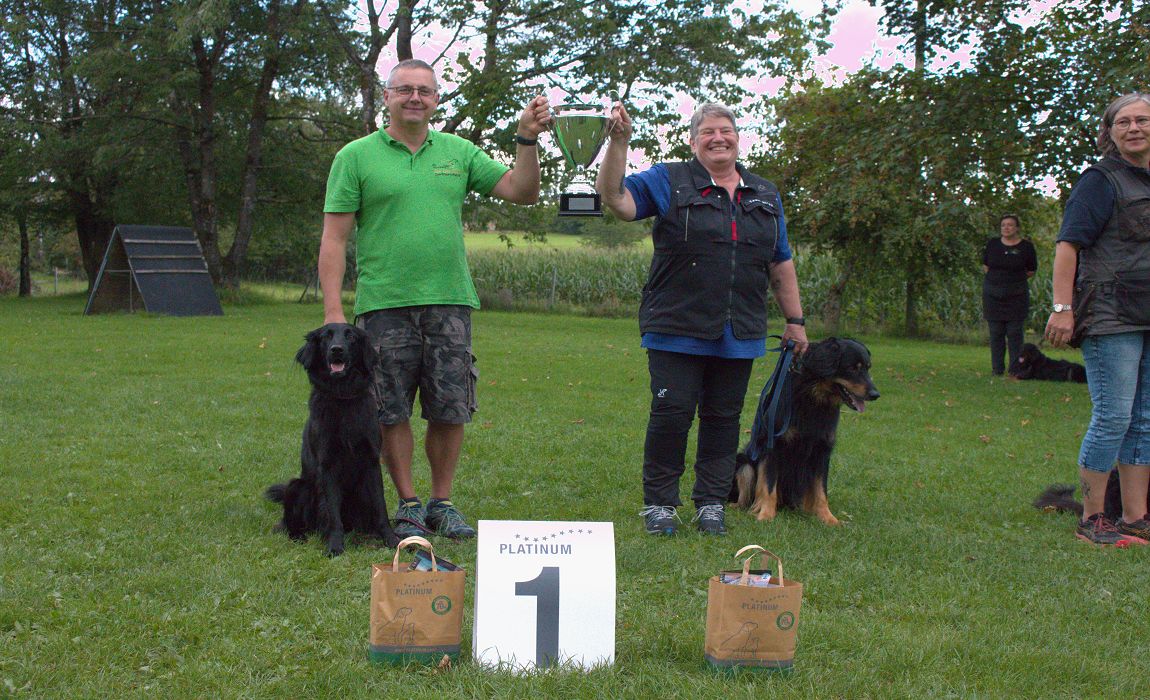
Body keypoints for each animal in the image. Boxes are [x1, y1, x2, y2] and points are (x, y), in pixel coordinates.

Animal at [265, 324, 400, 556]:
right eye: (325, 337)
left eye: (351, 336)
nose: (336, 349)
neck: (343, 397)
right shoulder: (327, 464)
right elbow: (332, 512)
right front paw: (335, 545)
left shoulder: (372, 462)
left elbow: (380, 506)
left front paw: (391, 539)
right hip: (297, 486)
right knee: (289, 524)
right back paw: (300, 536)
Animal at [726, 337, 878, 524]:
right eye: (852, 368)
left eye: (867, 368)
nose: (875, 394)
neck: (813, 399)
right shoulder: (773, 445)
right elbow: (768, 485)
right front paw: (766, 515)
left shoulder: (822, 451)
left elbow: (821, 491)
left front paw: (828, 518)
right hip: (743, 463)